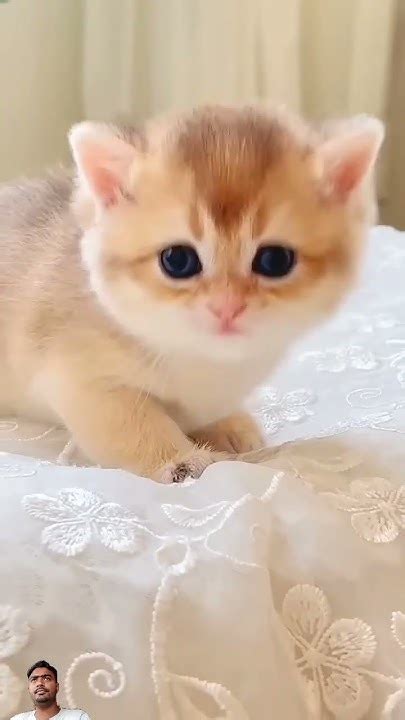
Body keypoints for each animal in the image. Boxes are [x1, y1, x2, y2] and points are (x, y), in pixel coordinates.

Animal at [0, 105, 383, 482]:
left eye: (275, 260)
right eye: (177, 260)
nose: (227, 307)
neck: (200, 358)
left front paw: (228, 425)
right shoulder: (80, 375)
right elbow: (134, 421)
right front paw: (181, 461)